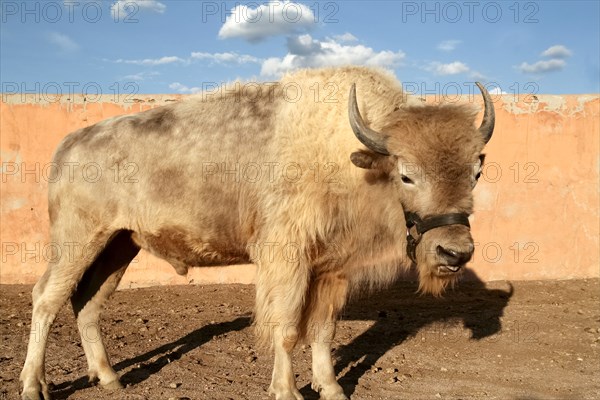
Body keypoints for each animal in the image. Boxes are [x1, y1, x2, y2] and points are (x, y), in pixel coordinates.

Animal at [21, 67, 494, 400]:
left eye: (475, 172)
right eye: (407, 174)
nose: (454, 252)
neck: (350, 158)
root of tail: (70, 143)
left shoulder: (333, 269)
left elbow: (323, 330)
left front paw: (331, 388)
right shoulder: (286, 260)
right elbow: (286, 327)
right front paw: (287, 391)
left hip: (119, 246)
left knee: (87, 303)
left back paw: (110, 379)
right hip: (78, 241)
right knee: (46, 298)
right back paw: (33, 386)